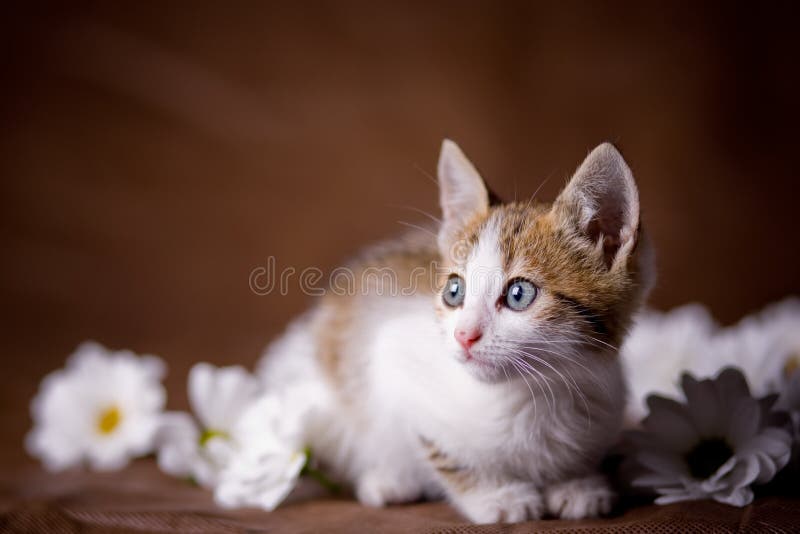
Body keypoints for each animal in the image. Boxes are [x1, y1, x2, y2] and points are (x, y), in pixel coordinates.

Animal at [260, 140, 652, 524]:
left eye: (519, 294)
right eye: (454, 291)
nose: (464, 335)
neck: (531, 396)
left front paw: (575, 483)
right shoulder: (393, 362)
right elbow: (437, 445)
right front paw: (496, 495)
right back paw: (388, 480)